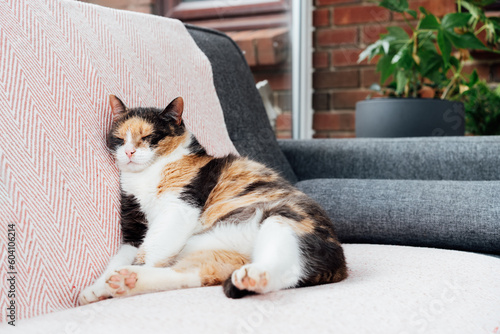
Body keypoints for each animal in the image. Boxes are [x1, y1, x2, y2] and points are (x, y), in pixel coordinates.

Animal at [79, 95, 348, 304]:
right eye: (119, 138)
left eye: (149, 137)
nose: (129, 152)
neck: (147, 174)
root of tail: (340, 268)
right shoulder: (133, 228)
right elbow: (121, 256)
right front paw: (95, 289)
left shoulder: (179, 207)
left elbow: (151, 250)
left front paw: (115, 279)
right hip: (213, 255)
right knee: (187, 275)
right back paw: (127, 280)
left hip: (286, 218)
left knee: (286, 270)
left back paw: (254, 277)